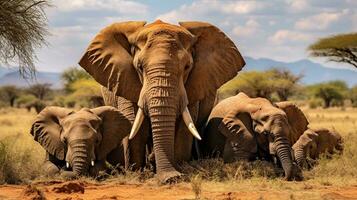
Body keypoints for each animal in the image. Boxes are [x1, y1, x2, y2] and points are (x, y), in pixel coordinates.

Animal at [78, 20, 245, 183]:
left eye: (187, 67)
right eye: (139, 67)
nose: (170, 179)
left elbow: (184, 127)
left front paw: (179, 172)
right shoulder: (124, 78)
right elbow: (134, 125)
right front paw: (137, 175)